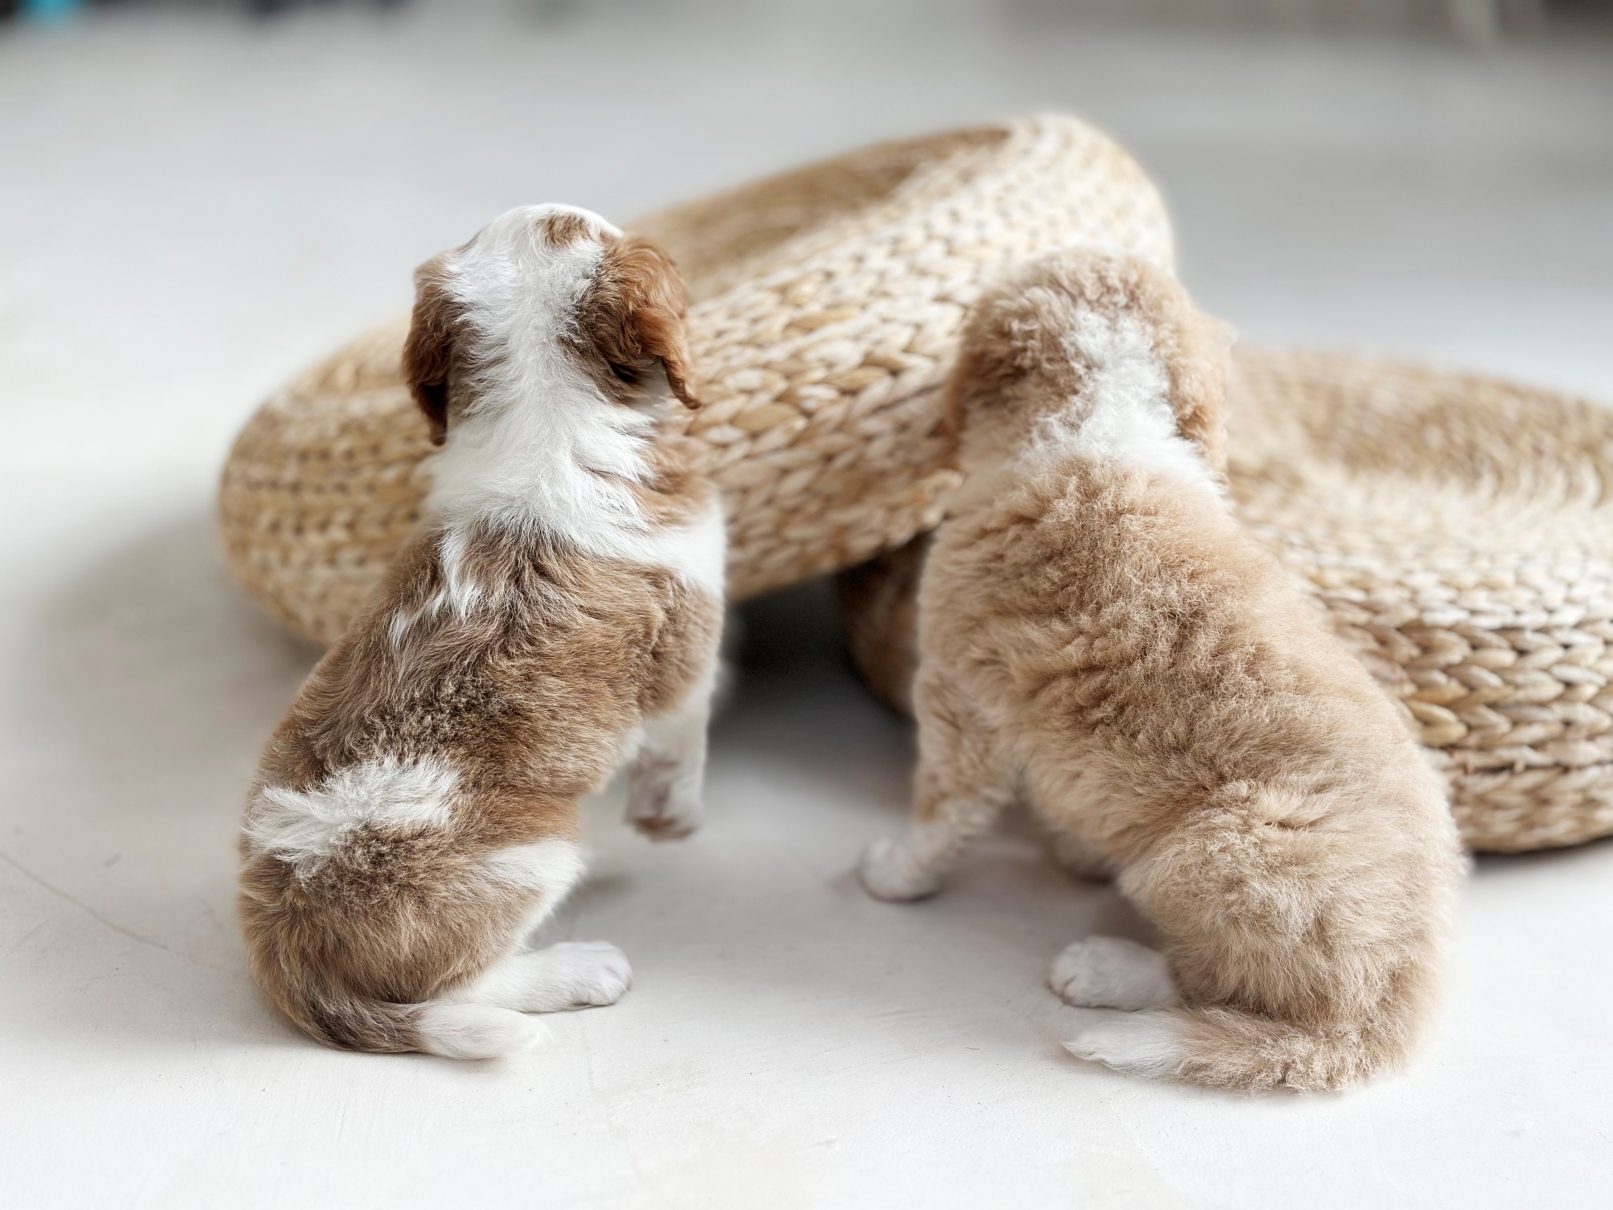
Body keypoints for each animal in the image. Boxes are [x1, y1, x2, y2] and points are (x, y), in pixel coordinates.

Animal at [239, 205, 725, 1059]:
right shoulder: (687, 650)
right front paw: (673, 821)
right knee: (462, 985)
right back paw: (577, 968)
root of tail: (286, 946)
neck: (542, 425)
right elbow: (683, 742)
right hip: (526, 856)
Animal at [858, 249, 1463, 1091]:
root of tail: (1389, 1018)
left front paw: (897, 874)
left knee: (1216, 982)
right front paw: (1074, 846)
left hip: (1205, 857)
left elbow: (940, 811)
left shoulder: (959, 697)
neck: (1102, 416)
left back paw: (1104, 972)